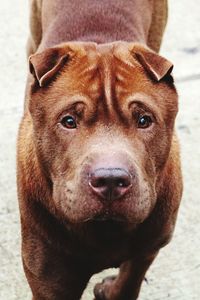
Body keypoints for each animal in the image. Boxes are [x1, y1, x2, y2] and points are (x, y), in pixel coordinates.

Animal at [17, 0, 183, 300]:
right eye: (68, 121)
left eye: (144, 120)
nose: (111, 180)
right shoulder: (49, 276)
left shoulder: (148, 248)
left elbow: (129, 281)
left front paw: (110, 288)